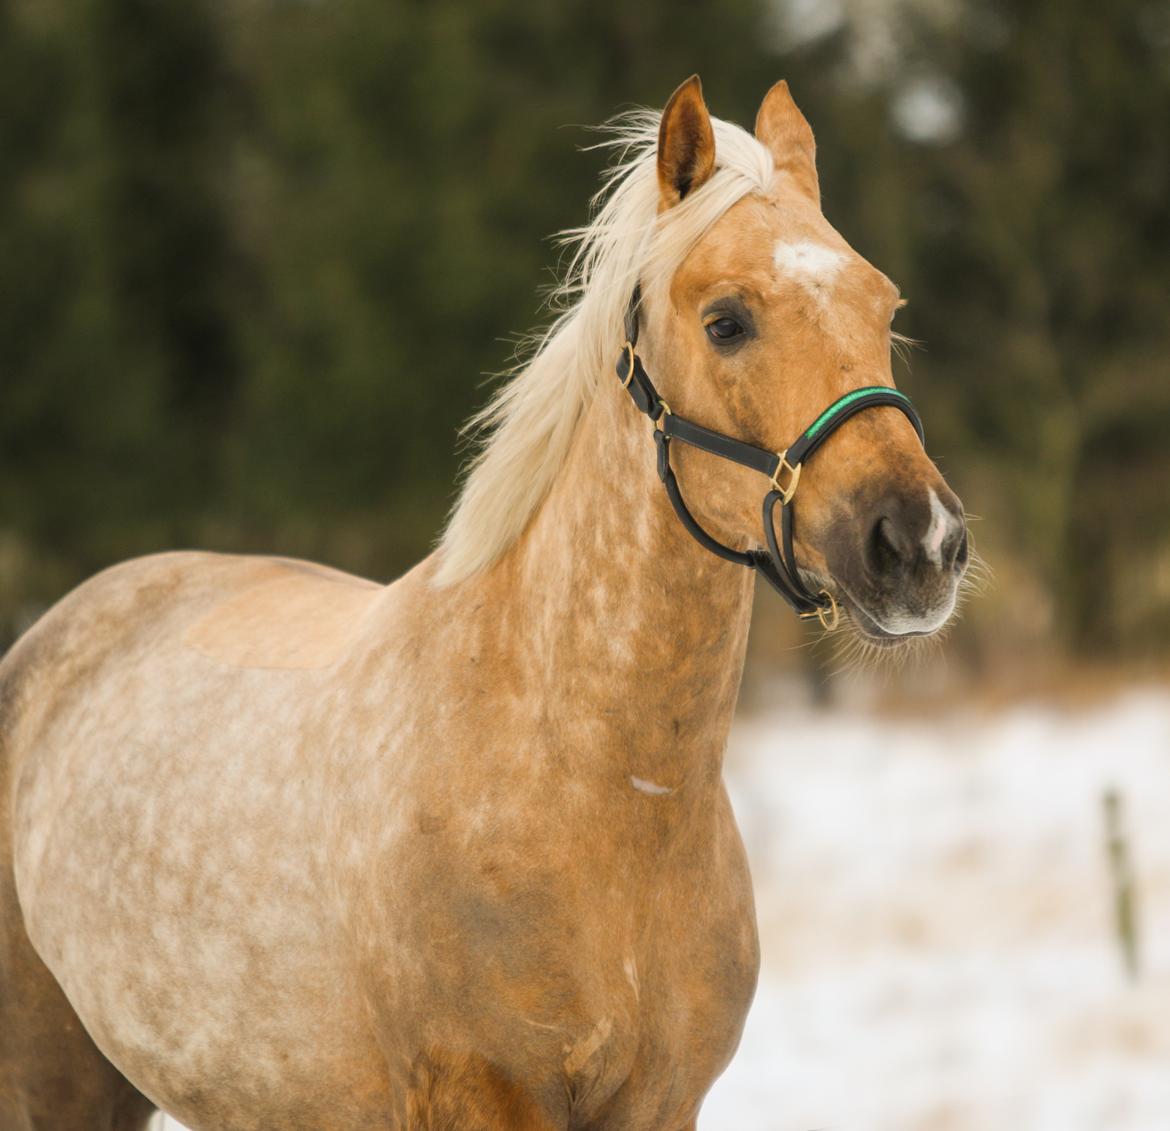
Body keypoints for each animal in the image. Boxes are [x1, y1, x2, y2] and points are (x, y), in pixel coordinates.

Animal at [0, 79, 968, 1131]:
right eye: (726, 321)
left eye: (884, 307)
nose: (920, 543)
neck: (599, 793)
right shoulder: (480, 1093)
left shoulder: (665, 1102)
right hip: (53, 1076)